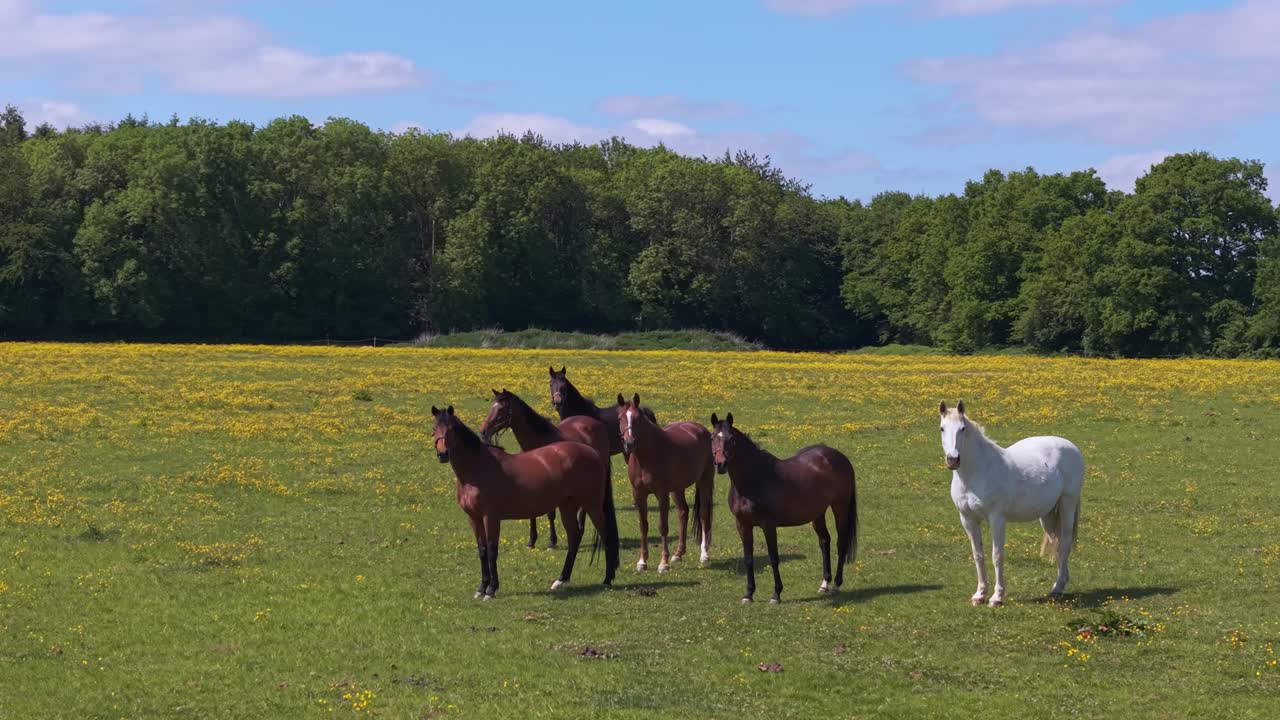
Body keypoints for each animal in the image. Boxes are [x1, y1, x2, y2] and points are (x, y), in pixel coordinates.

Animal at [431, 405, 619, 599]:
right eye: (434, 429)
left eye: (452, 429)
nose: (442, 454)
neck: (478, 469)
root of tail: (593, 453)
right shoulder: (474, 518)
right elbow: (482, 551)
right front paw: (481, 588)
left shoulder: (490, 517)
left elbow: (492, 551)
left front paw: (491, 590)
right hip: (567, 506)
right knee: (574, 538)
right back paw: (561, 579)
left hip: (592, 506)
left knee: (605, 536)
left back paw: (607, 579)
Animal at [479, 388, 612, 549]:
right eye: (492, 407)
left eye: (501, 409)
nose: (483, 431)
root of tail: (595, 424)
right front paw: (531, 541)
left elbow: (550, 514)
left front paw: (552, 542)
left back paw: (580, 529)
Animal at [616, 393, 715, 572]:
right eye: (620, 418)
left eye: (638, 418)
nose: (629, 443)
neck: (647, 456)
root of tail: (700, 429)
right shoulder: (639, 494)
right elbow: (643, 526)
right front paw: (642, 562)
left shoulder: (661, 494)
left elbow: (663, 527)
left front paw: (663, 563)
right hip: (677, 488)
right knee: (683, 512)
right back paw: (678, 554)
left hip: (705, 480)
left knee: (704, 514)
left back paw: (704, 555)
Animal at [710, 413, 858, 604]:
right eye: (712, 437)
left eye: (731, 439)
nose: (720, 464)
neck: (754, 478)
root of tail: (839, 457)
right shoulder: (742, 525)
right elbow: (748, 558)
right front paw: (748, 594)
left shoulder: (768, 525)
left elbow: (773, 558)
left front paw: (776, 594)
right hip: (817, 513)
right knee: (825, 541)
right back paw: (824, 584)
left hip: (840, 506)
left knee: (841, 542)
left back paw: (836, 585)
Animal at [939, 400, 1084, 607]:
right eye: (942, 428)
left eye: (962, 428)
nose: (953, 460)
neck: (978, 471)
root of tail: (1072, 447)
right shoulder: (967, 519)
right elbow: (978, 555)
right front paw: (979, 595)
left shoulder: (997, 519)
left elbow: (997, 555)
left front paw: (997, 597)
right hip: (1047, 515)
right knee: (1056, 544)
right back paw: (1061, 583)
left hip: (1067, 504)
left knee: (1064, 543)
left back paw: (1057, 588)